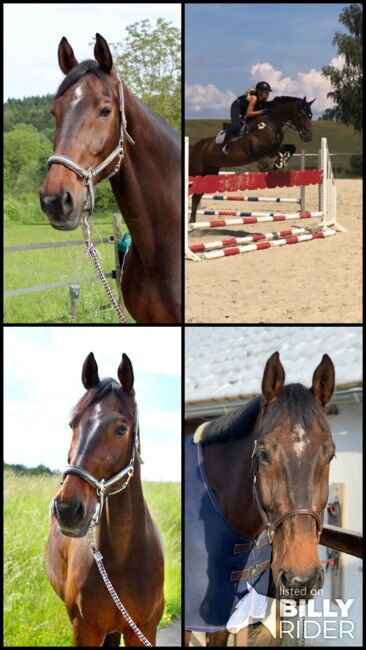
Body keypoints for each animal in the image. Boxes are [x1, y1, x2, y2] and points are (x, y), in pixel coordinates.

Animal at [46, 352, 164, 644]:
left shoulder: (143, 630)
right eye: (73, 423)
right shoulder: (85, 630)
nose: (67, 508)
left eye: (121, 429)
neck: (121, 560)